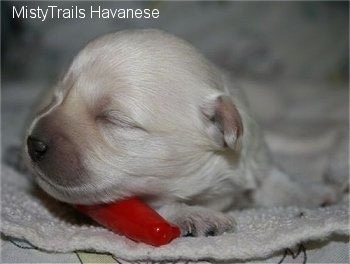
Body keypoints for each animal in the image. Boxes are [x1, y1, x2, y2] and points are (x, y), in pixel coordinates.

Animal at [26, 29, 330, 237]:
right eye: (57, 98)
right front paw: (198, 216)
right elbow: (159, 206)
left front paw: (312, 192)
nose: (33, 144)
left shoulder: (254, 156)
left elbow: (276, 180)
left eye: (114, 119)